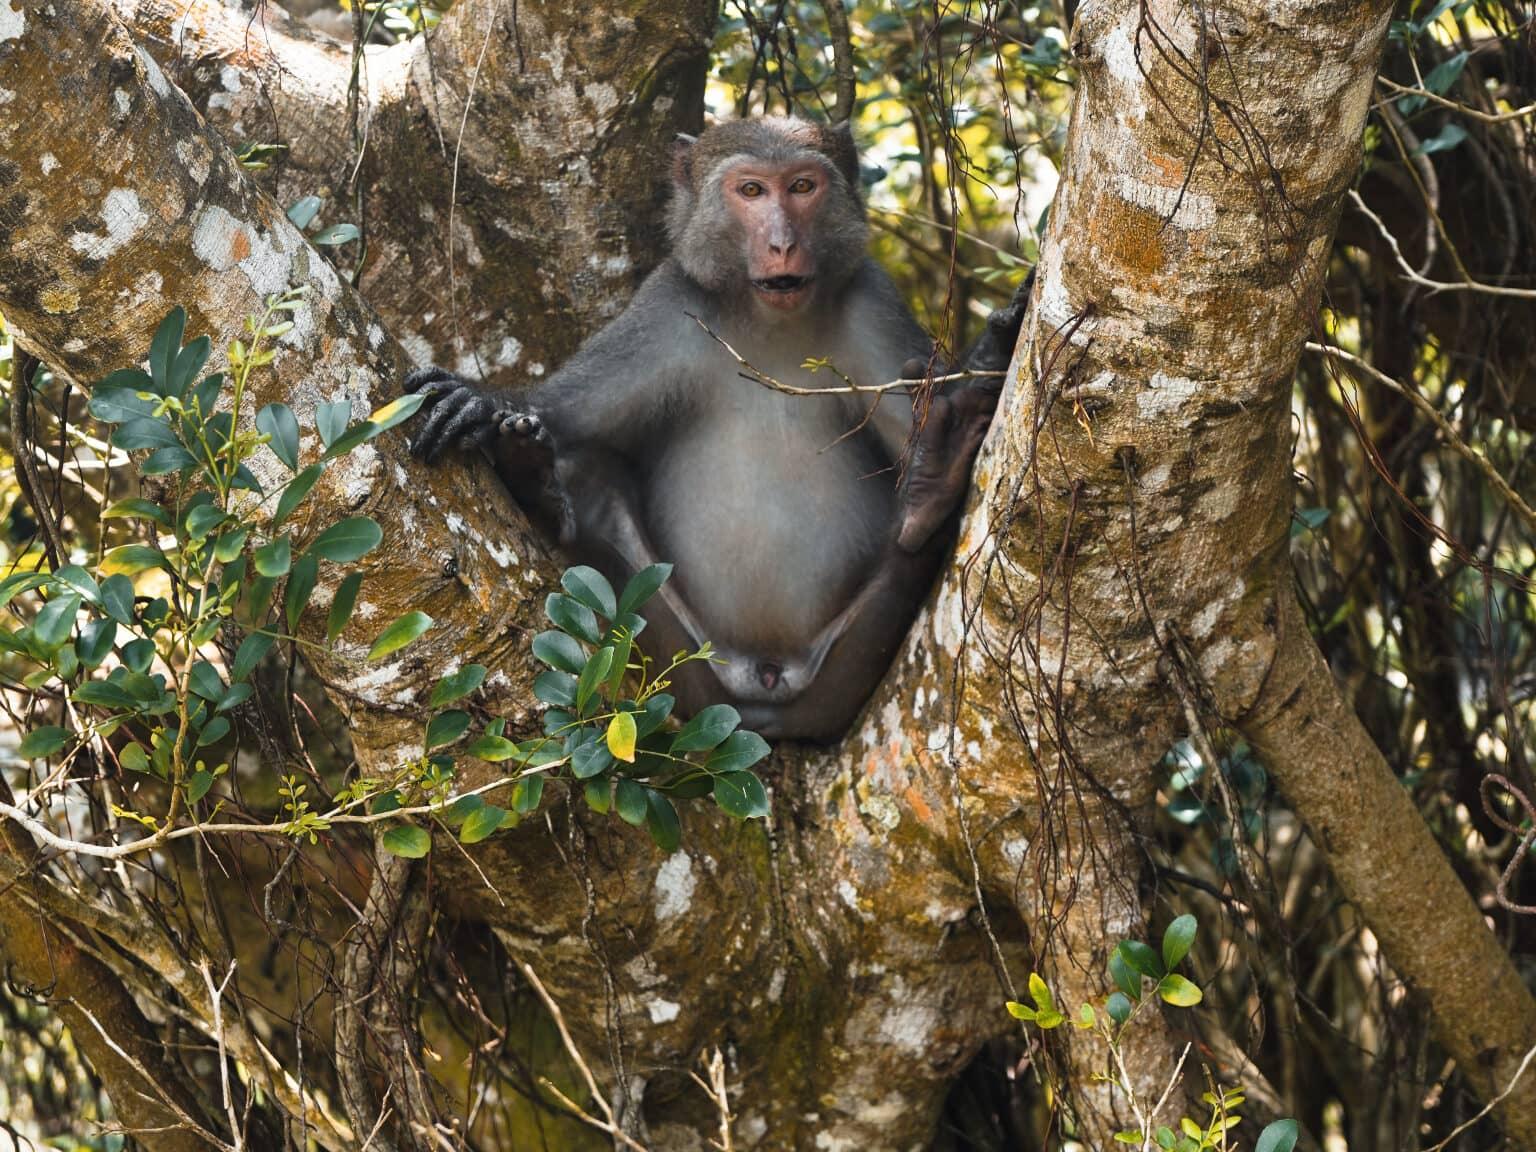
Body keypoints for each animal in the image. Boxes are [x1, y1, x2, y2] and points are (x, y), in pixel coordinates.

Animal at [407, 117, 1028, 742]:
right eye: (751, 191)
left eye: (802, 187)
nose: (782, 243)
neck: (768, 318)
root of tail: (766, 685)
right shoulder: (667, 307)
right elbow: (563, 412)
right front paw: (484, 405)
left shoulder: (871, 300)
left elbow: (917, 419)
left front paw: (981, 368)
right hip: (680, 667)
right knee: (587, 468)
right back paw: (536, 482)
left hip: (842, 675)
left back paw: (931, 485)